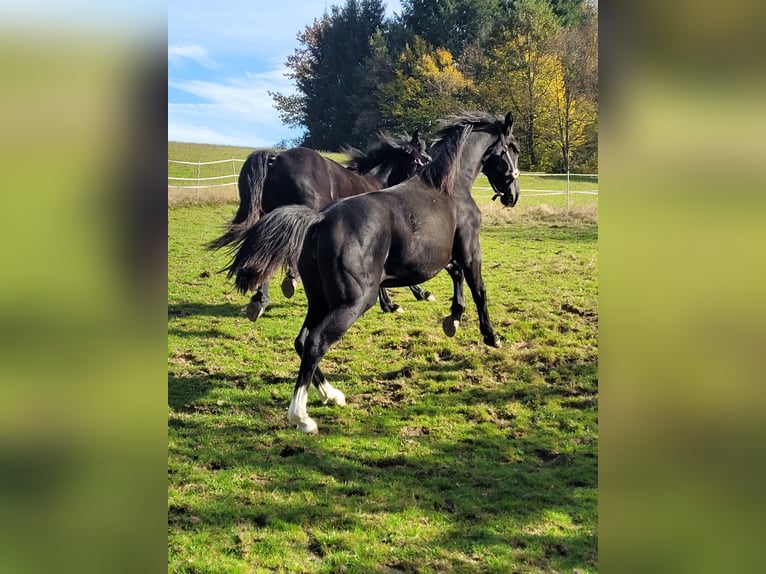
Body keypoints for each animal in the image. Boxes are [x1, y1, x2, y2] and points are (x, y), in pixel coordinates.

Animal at [207, 132, 436, 320]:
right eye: (424, 159)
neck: (374, 181)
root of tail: (275, 158)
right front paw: (399, 301)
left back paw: (260, 300)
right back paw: (288, 283)